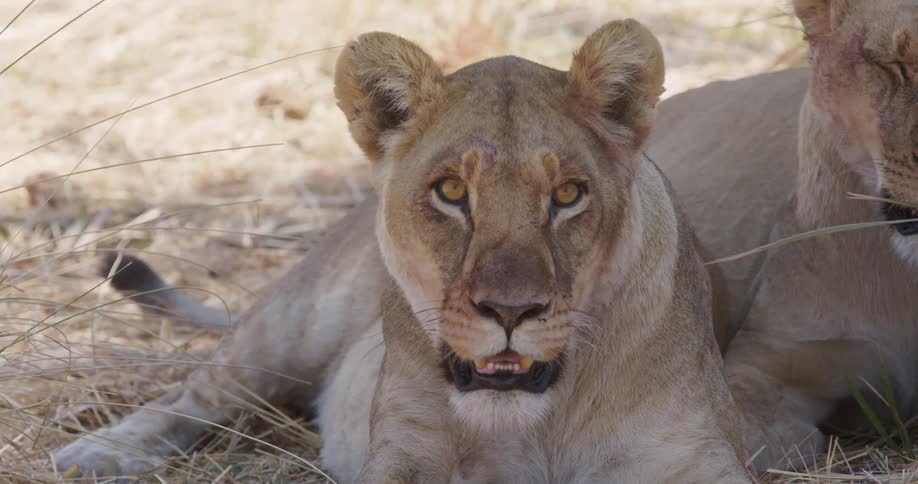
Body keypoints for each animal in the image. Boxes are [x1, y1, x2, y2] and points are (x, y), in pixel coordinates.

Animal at [52, 20, 751, 483]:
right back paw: (101, 451)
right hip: (290, 325)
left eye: (568, 194)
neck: (534, 422)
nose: (510, 312)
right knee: (193, 395)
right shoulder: (405, 452)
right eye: (451, 192)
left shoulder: (697, 457)